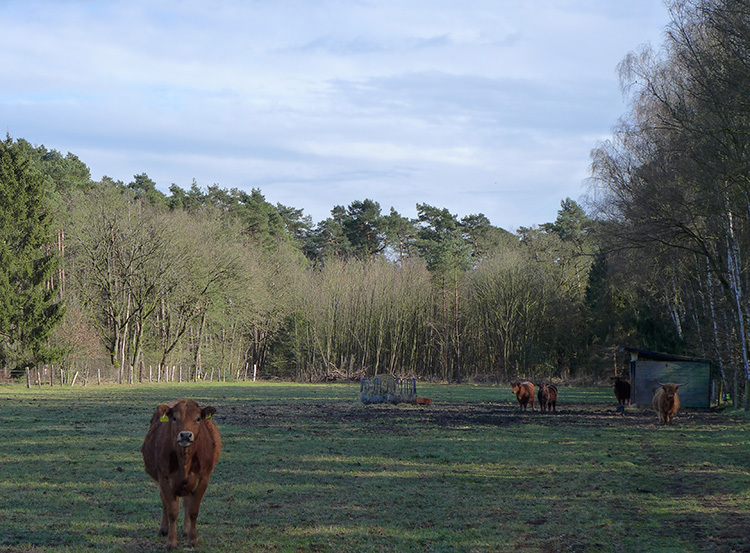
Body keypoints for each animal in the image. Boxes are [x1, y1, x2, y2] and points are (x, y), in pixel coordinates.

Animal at [141, 398, 222, 548]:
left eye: (198, 418)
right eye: (174, 418)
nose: (185, 435)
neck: (185, 461)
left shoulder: (203, 480)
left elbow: (193, 511)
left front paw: (193, 540)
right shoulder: (165, 479)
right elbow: (172, 511)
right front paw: (171, 542)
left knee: (186, 503)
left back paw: (186, 530)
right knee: (165, 502)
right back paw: (164, 529)